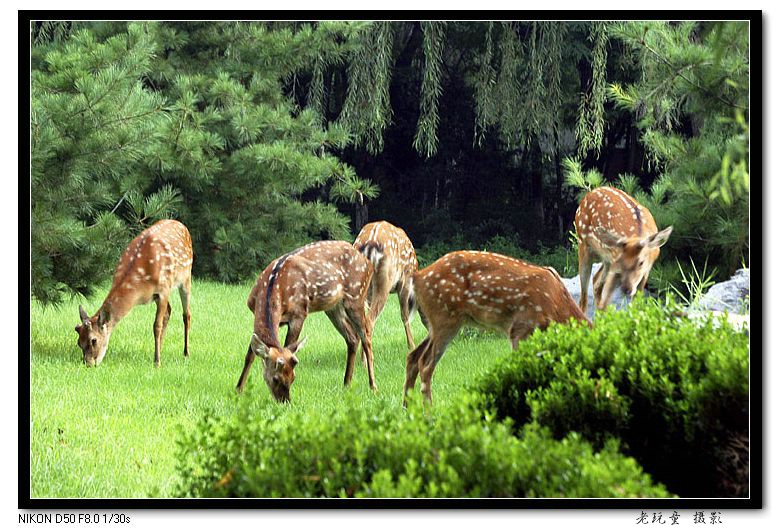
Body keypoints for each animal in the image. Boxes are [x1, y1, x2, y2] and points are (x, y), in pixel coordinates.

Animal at [73, 219, 193, 368]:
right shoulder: (157, 295)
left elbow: (156, 326)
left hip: (186, 276)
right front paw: (157, 357)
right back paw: (161, 348)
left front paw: (157, 363)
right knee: (169, 312)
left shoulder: (163, 289)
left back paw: (186, 353)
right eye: (79, 342)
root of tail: (181, 224)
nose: (88, 363)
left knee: (186, 314)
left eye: (93, 340)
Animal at [235, 239, 374, 400]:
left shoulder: (299, 313)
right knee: (352, 338)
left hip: (356, 296)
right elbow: (250, 355)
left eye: (293, 378)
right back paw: (346, 384)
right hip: (333, 307)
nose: (285, 401)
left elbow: (288, 345)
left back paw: (373, 386)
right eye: (276, 378)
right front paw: (238, 390)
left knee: (366, 336)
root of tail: (368, 262)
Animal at [354, 220, 424, 350]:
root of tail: (370, 243)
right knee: (369, 321)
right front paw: (411, 345)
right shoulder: (405, 281)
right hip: (384, 281)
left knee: (363, 322)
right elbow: (405, 315)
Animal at [406, 250, 588, 402]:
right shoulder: (521, 328)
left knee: (413, 357)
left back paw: (409, 411)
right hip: (445, 318)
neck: (557, 305)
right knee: (425, 364)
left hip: (435, 323)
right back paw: (428, 414)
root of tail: (417, 277)